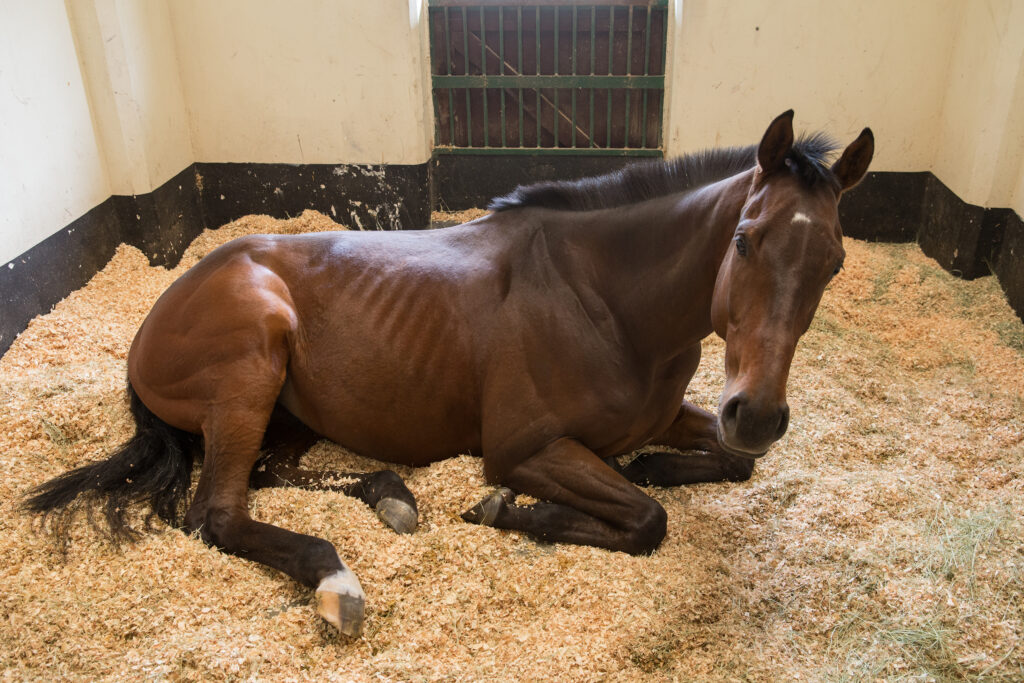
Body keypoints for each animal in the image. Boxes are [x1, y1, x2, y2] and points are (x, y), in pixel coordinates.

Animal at [24, 110, 873, 636]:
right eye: (744, 240)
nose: (758, 413)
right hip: (250, 370)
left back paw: (389, 493)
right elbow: (644, 520)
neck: (602, 295)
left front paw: (659, 463)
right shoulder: (526, 448)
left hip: (284, 413)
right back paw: (338, 580)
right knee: (218, 514)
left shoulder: (673, 413)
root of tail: (155, 319)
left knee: (269, 474)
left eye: (834, 261)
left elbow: (728, 464)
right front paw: (512, 509)